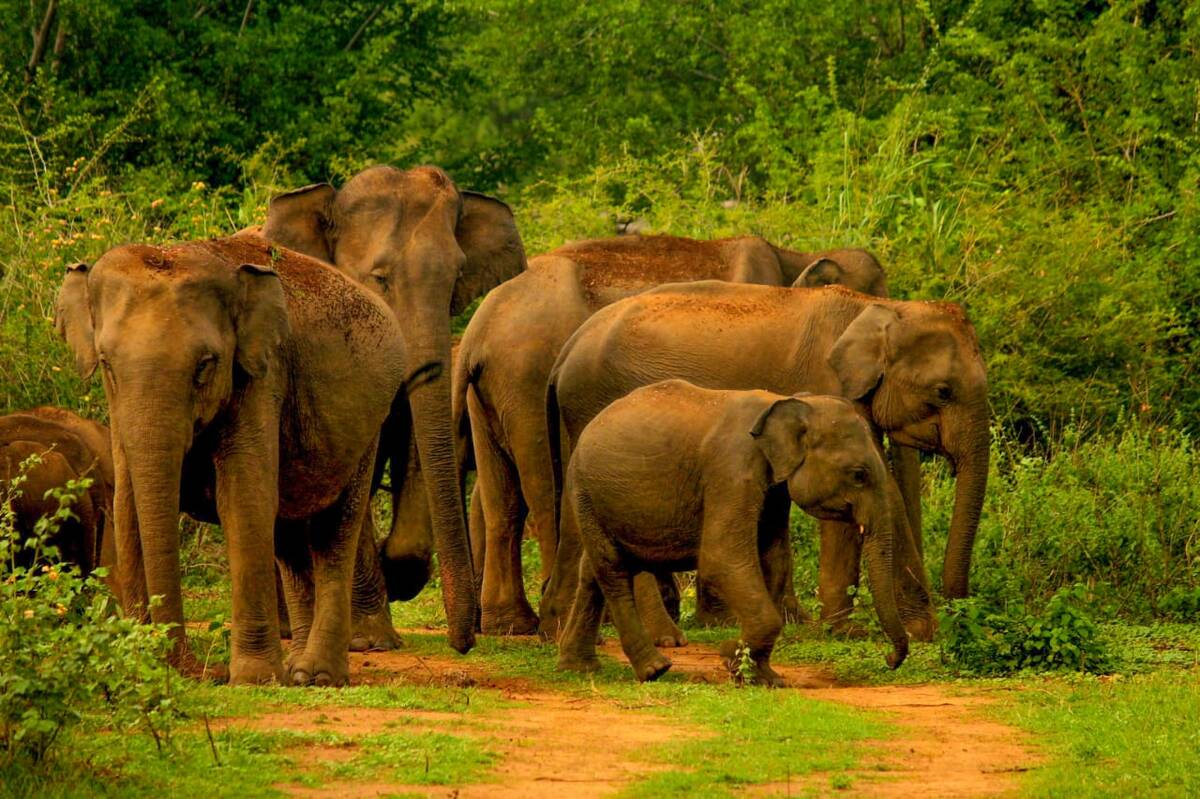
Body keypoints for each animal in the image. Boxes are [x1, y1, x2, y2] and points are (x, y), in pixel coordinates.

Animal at [55, 231, 408, 686]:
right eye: (106, 364)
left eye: (206, 365)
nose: (197, 671)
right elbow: (128, 507)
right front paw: (141, 667)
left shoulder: (260, 377)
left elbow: (243, 499)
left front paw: (255, 679)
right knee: (290, 537)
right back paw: (296, 671)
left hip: (368, 424)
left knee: (334, 531)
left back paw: (316, 676)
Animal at [263, 165, 526, 654]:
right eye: (380, 278)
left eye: (457, 277)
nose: (464, 644)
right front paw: (370, 640)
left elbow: (415, 443)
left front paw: (397, 570)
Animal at [448, 233, 888, 635]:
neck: (794, 256)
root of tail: (476, 331)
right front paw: (730, 620)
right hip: (526, 380)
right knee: (546, 492)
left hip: (490, 396)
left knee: (502, 500)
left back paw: (510, 624)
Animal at [542, 282, 990, 639]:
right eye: (943, 391)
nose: (959, 612)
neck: (879, 307)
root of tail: (565, 352)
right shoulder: (829, 388)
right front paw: (857, 632)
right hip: (598, 402)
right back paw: (662, 638)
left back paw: (558, 630)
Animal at [556, 381, 909, 684]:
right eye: (859, 475)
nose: (890, 660)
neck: (786, 402)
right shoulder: (731, 468)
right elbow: (721, 557)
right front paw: (733, 659)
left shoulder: (773, 488)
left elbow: (775, 557)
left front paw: (759, 674)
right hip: (584, 490)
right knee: (613, 570)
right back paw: (654, 669)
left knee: (593, 571)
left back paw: (579, 666)